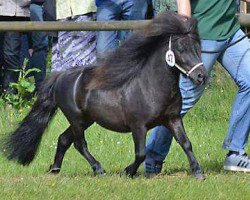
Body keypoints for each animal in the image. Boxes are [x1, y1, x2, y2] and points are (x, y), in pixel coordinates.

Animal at [2, 11, 208, 179]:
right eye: (180, 48)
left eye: (197, 47)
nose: (201, 76)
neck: (151, 87)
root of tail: (60, 76)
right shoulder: (138, 126)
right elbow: (140, 153)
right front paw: (128, 171)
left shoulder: (172, 119)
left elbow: (186, 143)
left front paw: (198, 172)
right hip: (76, 119)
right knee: (79, 144)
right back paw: (99, 169)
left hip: (86, 120)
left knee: (63, 139)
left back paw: (55, 169)